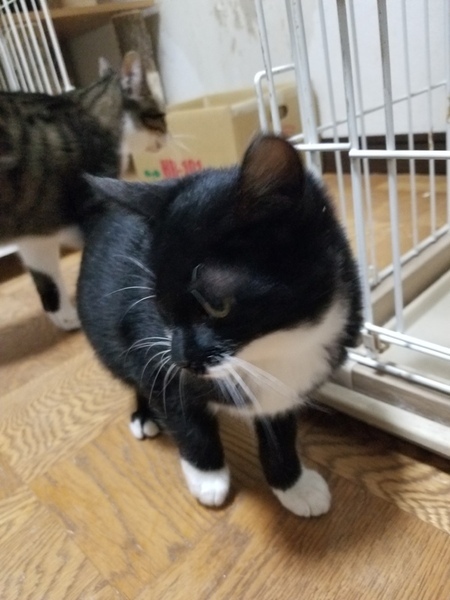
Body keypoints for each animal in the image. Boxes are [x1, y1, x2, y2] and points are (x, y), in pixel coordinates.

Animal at [0, 50, 166, 330]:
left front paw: (64, 316)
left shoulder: (34, 231)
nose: (168, 135)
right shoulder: (92, 201)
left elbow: (45, 273)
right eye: (161, 115)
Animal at [77, 134, 362, 516]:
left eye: (217, 305)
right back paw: (145, 414)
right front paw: (208, 477)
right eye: (159, 305)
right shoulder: (148, 341)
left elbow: (280, 430)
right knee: (132, 373)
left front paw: (294, 485)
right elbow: (182, 414)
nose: (182, 358)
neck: (274, 345)